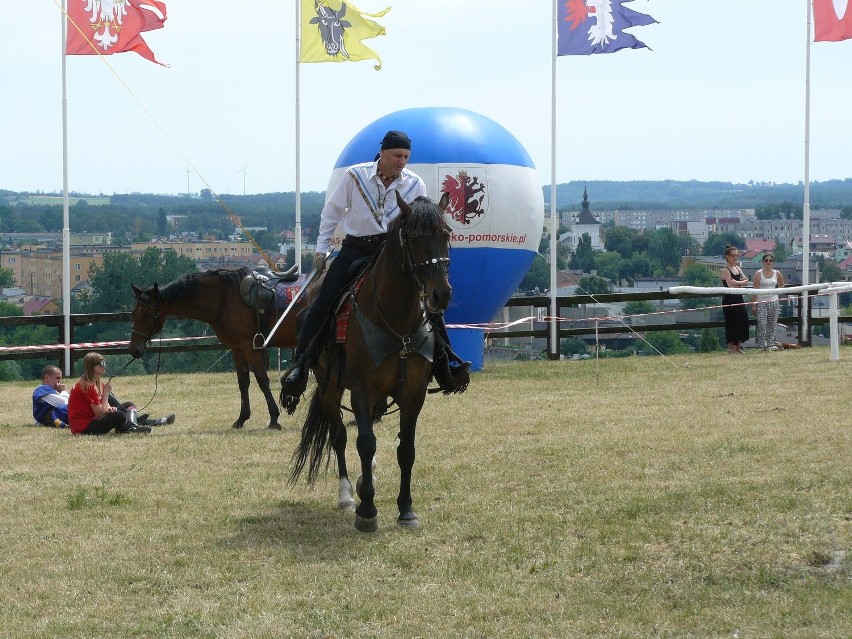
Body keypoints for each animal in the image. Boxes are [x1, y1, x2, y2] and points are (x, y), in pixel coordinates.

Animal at [128, 268, 308, 432]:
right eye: (133, 313)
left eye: (146, 314)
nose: (134, 349)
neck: (224, 298)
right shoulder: (237, 349)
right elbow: (243, 382)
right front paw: (242, 418)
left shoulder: (249, 347)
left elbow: (262, 380)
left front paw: (274, 418)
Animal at [286, 192, 456, 532]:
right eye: (414, 237)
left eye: (446, 235)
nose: (440, 294)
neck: (396, 321)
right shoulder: (361, 390)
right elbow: (364, 443)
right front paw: (366, 511)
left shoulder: (413, 392)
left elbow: (406, 449)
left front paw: (406, 509)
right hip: (329, 389)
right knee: (339, 436)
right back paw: (347, 495)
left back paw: (368, 480)